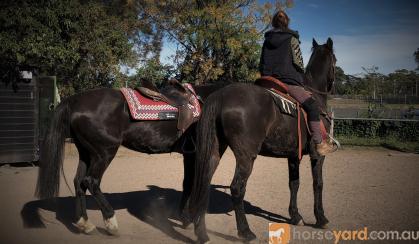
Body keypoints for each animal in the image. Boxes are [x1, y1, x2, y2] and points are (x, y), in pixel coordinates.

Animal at [35, 79, 223, 234]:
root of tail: (74, 101)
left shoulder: (188, 155)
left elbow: (187, 183)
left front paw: (184, 218)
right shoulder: (195, 154)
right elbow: (192, 183)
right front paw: (187, 218)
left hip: (86, 153)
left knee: (79, 182)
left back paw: (84, 223)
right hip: (104, 153)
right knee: (91, 181)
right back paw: (110, 221)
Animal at [189, 38, 340, 242]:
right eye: (335, 60)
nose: (334, 84)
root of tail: (221, 96)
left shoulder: (293, 156)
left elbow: (294, 184)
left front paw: (295, 216)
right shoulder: (317, 155)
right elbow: (318, 184)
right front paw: (321, 218)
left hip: (215, 150)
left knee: (204, 182)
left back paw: (202, 232)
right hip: (246, 157)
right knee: (237, 188)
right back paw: (245, 231)